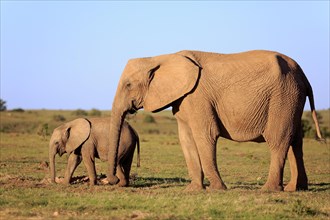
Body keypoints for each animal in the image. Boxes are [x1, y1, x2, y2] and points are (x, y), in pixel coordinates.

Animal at [107, 49, 324, 191]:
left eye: (128, 85)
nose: (112, 181)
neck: (161, 57)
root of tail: (304, 76)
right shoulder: (183, 99)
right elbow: (186, 139)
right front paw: (194, 190)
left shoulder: (197, 97)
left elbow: (205, 136)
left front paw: (217, 189)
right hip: (292, 97)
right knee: (296, 141)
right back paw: (295, 189)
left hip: (283, 97)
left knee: (279, 141)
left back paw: (269, 190)